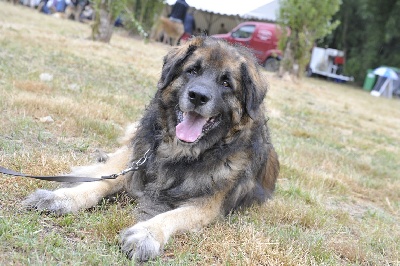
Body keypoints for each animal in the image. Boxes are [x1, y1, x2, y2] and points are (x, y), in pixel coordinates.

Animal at [22, 36, 278, 260]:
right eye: (192, 71)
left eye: (226, 83)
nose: (197, 96)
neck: (179, 152)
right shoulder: (138, 163)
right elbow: (103, 182)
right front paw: (60, 198)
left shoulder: (207, 205)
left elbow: (173, 216)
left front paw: (146, 234)